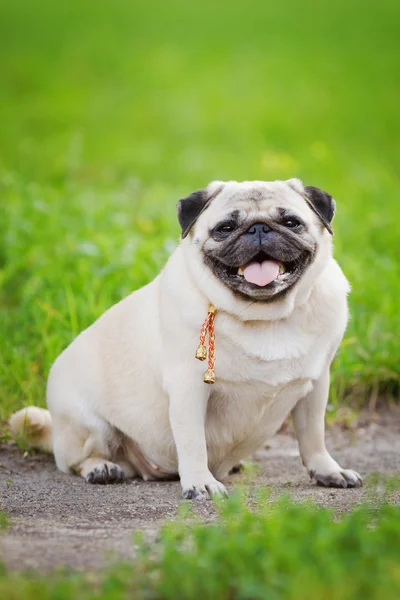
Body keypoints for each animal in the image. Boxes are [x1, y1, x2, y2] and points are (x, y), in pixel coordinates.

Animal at [9, 178, 360, 496]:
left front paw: (327, 470)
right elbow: (193, 442)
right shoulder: (188, 388)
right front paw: (200, 482)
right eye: (225, 228)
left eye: (291, 223)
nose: (258, 229)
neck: (265, 316)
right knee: (73, 461)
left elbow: (313, 436)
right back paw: (101, 468)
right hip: (89, 426)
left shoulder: (316, 384)